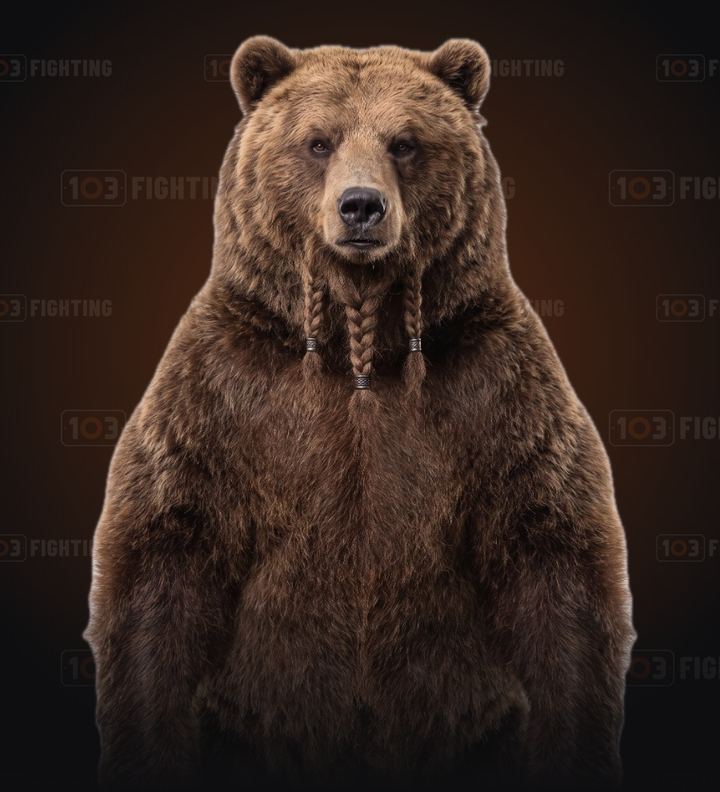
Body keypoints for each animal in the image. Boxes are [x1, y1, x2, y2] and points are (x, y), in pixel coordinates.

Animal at [83, 36, 636, 791]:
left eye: (405, 142)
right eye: (318, 141)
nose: (361, 207)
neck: (362, 349)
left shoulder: (496, 387)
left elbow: (552, 550)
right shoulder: (223, 389)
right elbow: (166, 551)